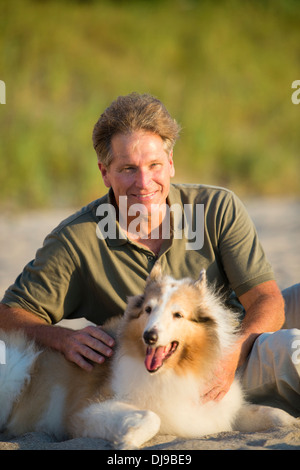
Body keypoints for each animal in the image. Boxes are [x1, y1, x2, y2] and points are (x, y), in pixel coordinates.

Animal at [0, 262, 296, 450]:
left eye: (178, 314)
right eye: (148, 310)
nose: (149, 337)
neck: (176, 371)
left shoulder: (221, 411)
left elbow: (278, 415)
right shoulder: (86, 411)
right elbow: (151, 418)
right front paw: (126, 442)